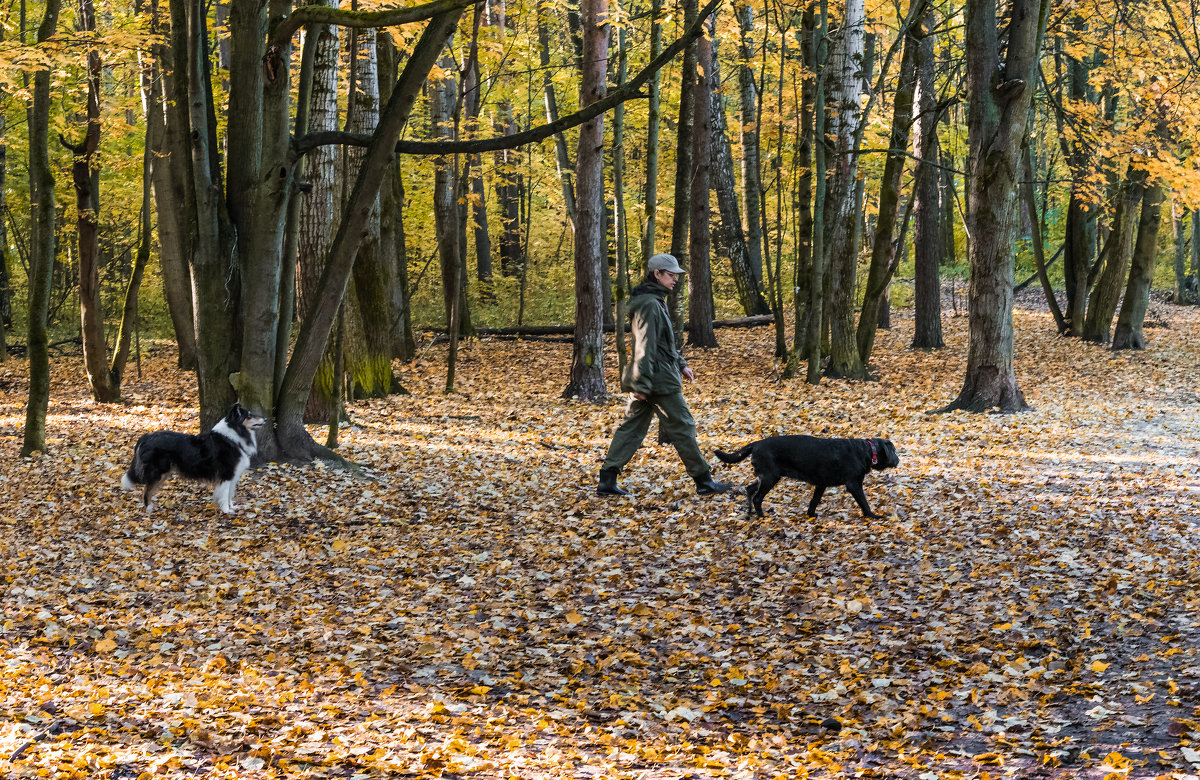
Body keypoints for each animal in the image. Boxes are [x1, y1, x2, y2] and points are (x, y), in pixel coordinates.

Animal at [120, 403, 265, 513]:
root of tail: (146, 437)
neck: (233, 435)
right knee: (146, 490)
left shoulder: (233, 476)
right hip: (158, 473)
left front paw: (232, 507)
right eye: (249, 415)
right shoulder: (226, 474)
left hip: (164, 473)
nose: (265, 419)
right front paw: (226, 511)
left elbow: (230, 494)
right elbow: (224, 494)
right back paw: (149, 508)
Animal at [710, 434, 902, 518]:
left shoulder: (821, 484)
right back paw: (762, 516)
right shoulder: (854, 484)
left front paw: (811, 515)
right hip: (770, 477)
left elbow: (814, 501)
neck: (868, 450)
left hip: (765, 477)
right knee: (757, 497)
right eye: (893, 450)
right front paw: (872, 515)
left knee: (750, 490)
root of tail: (756, 443)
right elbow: (864, 502)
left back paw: (750, 513)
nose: (898, 460)